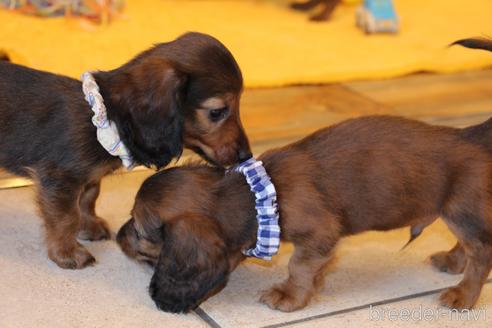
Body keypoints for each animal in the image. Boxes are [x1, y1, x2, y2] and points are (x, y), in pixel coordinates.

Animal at [0, 32, 252, 270]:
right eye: (217, 112)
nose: (246, 155)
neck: (105, 116)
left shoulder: (88, 178)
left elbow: (89, 198)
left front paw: (89, 226)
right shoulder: (60, 177)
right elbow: (66, 218)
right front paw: (67, 253)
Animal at [118, 114, 492, 312]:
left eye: (138, 227)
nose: (117, 236)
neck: (259, 196)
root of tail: (470, 135)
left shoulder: (319, 234)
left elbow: (298, 266)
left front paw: (289, 295)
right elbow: (313, 268)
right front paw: (317, 283)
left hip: (461, 211)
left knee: (482, 255)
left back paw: (463, 295)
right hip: (461, 214)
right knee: (470, 247)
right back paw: (451, 262)